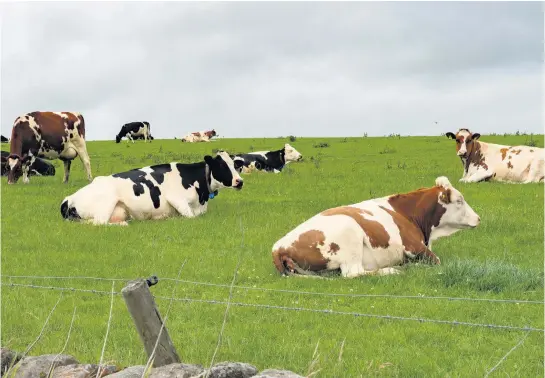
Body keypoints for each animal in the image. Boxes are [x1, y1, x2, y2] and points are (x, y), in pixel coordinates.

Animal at [60, 150, 244, 226]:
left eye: (236, 165)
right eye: (222, 165)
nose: (239, 181)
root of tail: (69, 198)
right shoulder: (177, 198)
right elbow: (191, 217)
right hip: (105, 204)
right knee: (97, 223)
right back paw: (123, 225)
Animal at [270, 176, 478, 278]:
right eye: (459, 201)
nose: (478, 218)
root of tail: (278, 246)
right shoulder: (414, 246)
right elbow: (437, 261)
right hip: (350, 232)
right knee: (353, 273)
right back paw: (393, 271)